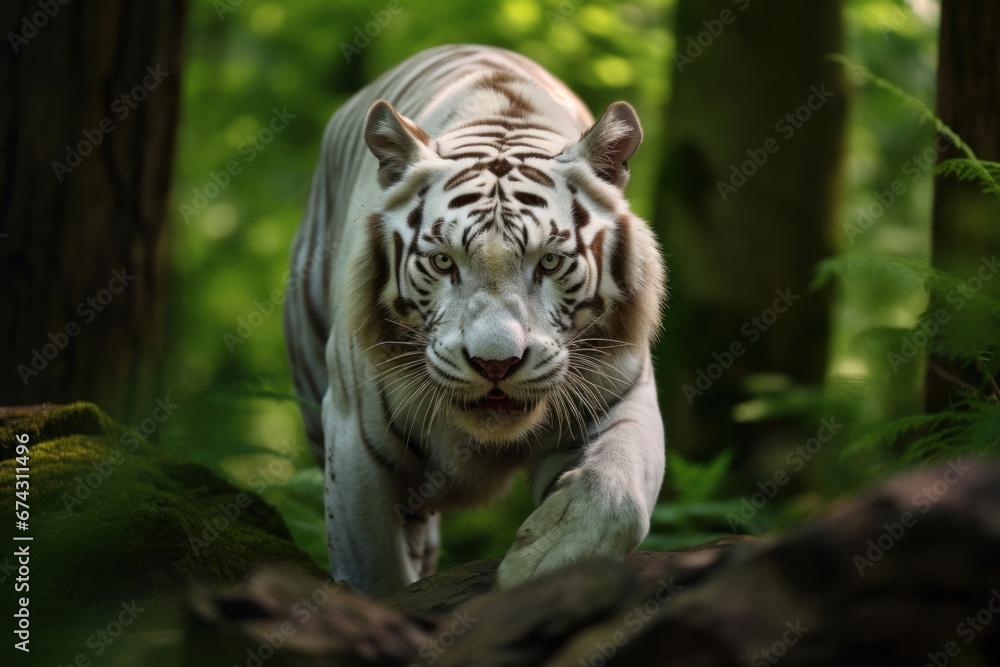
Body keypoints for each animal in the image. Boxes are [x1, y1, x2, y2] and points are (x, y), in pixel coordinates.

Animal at [284, 44, 667, 597]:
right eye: (444, 262)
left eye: (550, 262)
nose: (495, 364)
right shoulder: (355, 436)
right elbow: (372, 571)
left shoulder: (622, 391)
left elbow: (616, 492)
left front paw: (538, 565)